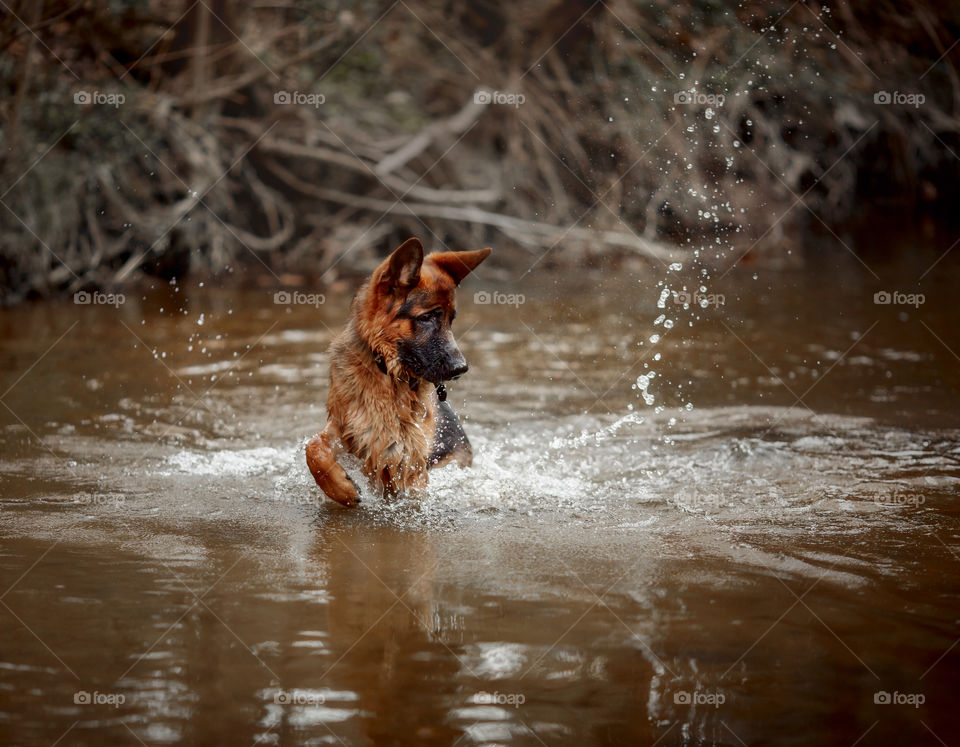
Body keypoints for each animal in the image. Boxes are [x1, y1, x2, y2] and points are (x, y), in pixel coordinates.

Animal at [306, 240, 492, 508]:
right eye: (426, 317)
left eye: (451, 320)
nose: (461, 368)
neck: (387, 372)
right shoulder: (348, 431)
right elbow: (313, 448)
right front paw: (343, 489)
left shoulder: (407, 461)